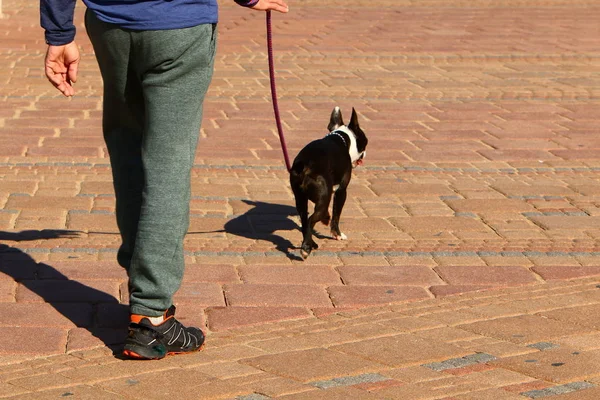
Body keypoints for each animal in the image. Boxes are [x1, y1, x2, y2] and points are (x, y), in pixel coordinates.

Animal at [290, 106, 368, 260]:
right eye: (365, 141)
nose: (366, 153)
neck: (343, 139)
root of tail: (305, 165)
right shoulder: (341, 190)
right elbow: (337, 214)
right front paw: (337, 234)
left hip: (300, 199)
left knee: (304, 222)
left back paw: (310, 244)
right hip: (323, 197)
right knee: (310, 221)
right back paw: (306, 248)